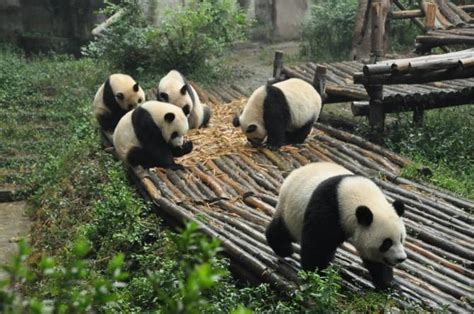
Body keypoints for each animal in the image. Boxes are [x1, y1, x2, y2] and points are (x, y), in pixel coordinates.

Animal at [266, 162, 408, 290]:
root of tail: (294, 172)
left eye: (401, 239)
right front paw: (317, 274)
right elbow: (318, 243)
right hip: (291, 208)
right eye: (387, 243)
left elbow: (377, 261)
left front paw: (389, 284)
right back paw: (284, 249)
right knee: (282, 230)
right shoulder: (330, 208)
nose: (401, 258)